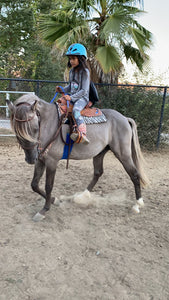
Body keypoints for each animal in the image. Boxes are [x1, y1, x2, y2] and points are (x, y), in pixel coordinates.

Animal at [6, 94, 148, 220]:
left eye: (35, 128)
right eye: (17, 131)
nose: (30, 159)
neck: (49, 124)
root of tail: (124, 118)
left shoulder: (52, 161)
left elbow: (48, 186)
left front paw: (44, 210)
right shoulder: (40, 160)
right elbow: (34, 185)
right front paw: (54, 200)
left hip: (123, 154)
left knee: (135, 175)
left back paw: (137, 204)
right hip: (99, 153)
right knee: (98, 172)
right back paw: (82, 196)